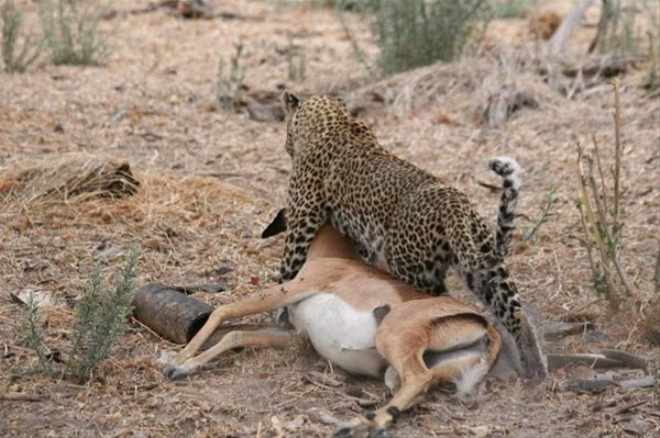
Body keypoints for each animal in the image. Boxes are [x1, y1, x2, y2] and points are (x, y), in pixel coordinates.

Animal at [278, 91, 548, 380]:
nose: (286, 146)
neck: (335, 120)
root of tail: (453, 204)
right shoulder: (361, 240)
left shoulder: (302, 219)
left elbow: (287, 271)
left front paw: (281, 318)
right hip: (484, 266)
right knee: (517, 315)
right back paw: (535, 369)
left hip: (415, 270)